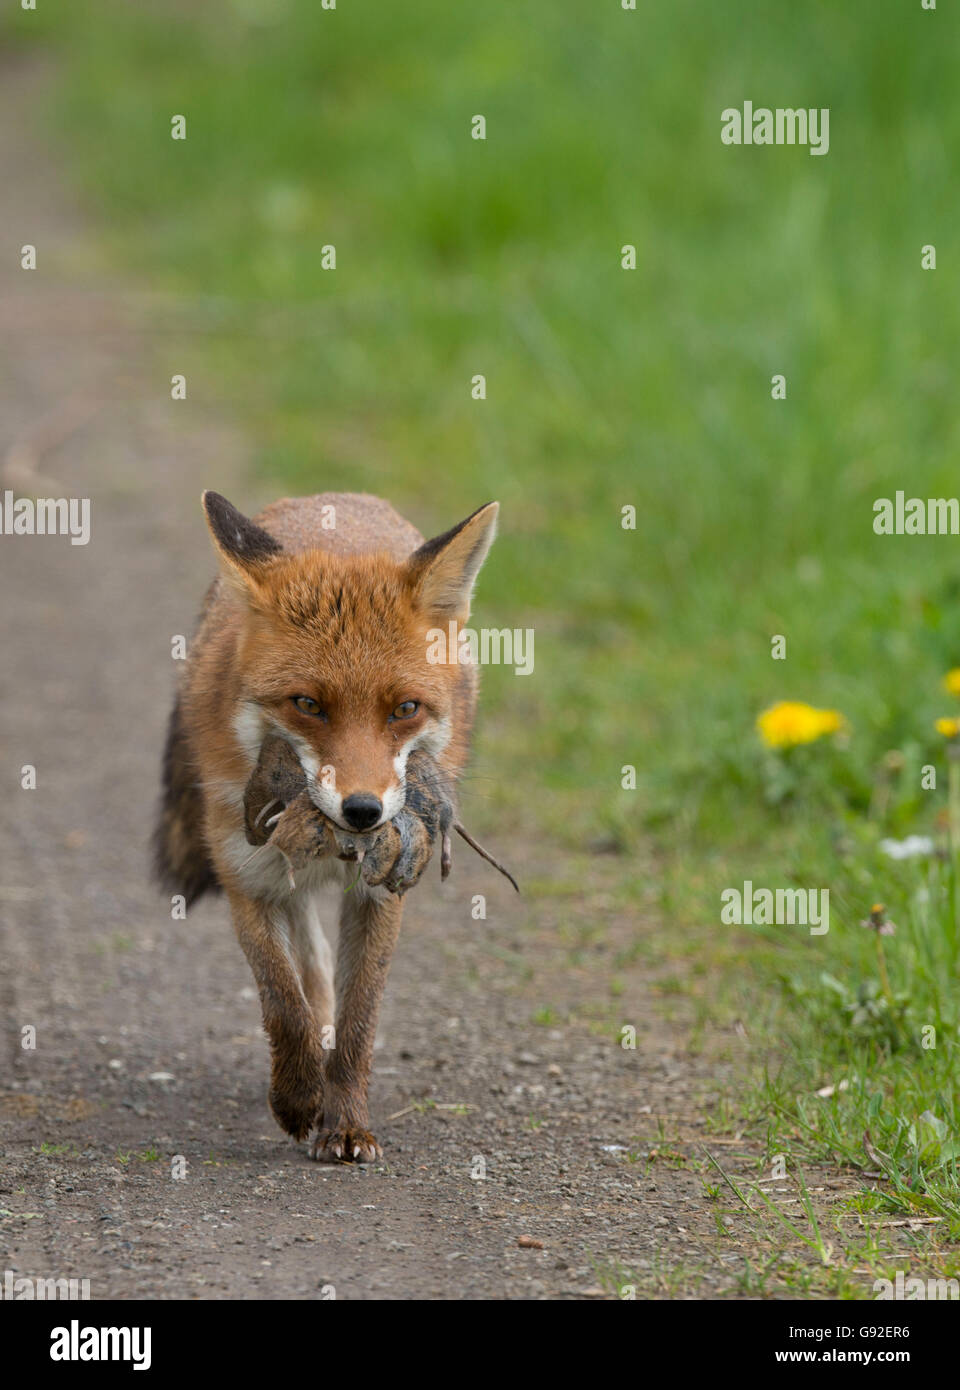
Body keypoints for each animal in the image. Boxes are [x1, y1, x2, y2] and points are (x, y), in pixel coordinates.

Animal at [154, 489, 500, 1162]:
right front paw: (297, 1100)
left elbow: (361, 1017)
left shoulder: (381, 891)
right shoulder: (247, 877)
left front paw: (346, 1123)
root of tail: (335, 500)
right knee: (310, 975)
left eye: (405, 709)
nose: (363, 811)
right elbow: (283, 1003)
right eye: (308, 705)